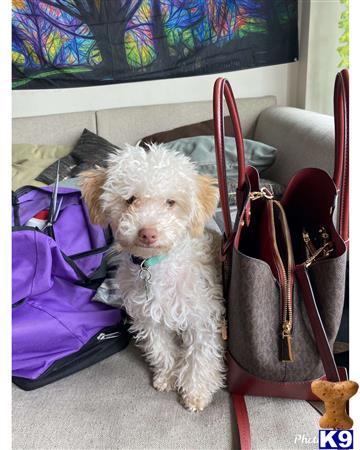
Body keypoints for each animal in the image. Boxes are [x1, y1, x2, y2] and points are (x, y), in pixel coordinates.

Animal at [81, 143, 225, 412]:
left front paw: (195, 393)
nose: (147, 233)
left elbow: (199, 357)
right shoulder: (148, 318)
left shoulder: (201, 319)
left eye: (170, 202)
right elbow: (161, 350)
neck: (154, 265)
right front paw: (167, 377)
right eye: (130, 200)